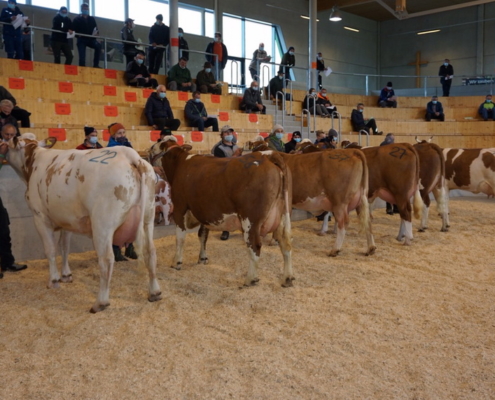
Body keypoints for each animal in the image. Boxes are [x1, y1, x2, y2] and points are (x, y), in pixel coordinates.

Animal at [5, 134, 162, 312]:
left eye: (8, 143)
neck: (33, 161)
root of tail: (131, 156)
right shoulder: (67, 220)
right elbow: (64, 248)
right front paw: (66, 275)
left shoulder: (40, 217)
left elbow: (50, 250)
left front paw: (53, 280)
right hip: (148, 216)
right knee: (150, 252)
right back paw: (154, 292)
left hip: (102, 223)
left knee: (106, 259)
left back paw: (100, 302)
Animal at [151, 138, 296, 288]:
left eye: (156, 144)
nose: (150, 151)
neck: (180, 163)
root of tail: (267, 155)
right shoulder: (204, 212)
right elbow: (202, 235)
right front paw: (202, 258)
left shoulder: (180, 208)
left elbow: (180, 237)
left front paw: (177, 262)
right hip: (283, 214)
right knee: (286, 243)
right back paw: (287, 278)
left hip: (250, 220)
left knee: (255, 245)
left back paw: (251, 279)